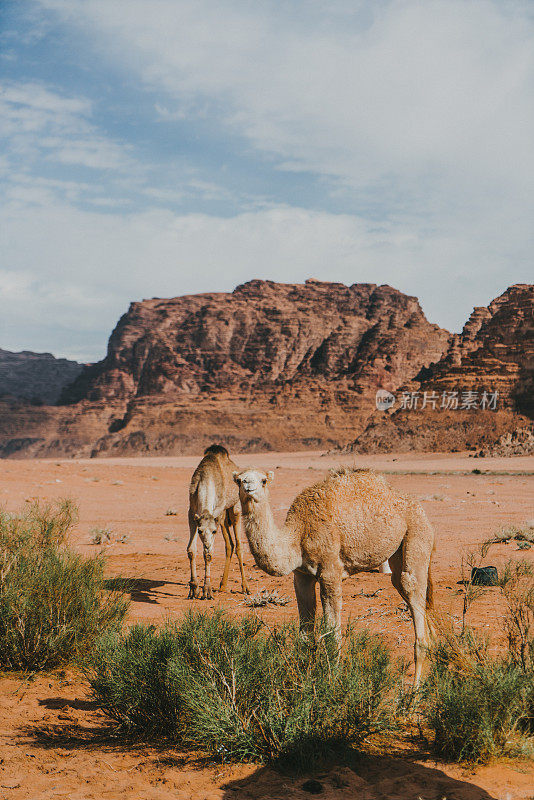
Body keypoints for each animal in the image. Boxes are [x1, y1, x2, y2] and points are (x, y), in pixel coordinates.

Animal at [187, 444, 250, 600]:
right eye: (200, 531)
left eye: (213, 531)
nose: (207, 543)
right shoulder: (192, 512)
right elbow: (191, 550)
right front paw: (193, 588)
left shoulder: (218, 512)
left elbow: (208, 554)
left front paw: (207, 590)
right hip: (223, 519)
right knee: (230, 545)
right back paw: (222, 585)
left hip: (234, 509)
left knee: (238, 546)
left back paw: (245, 587)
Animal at [233, 466, 436, 684]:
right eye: (239, 480)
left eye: (263, 480)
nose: (249, 487)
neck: (299, 534)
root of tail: (418, 507)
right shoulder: (301, 576)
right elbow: (305, 635)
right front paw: (304, 680)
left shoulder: (330, 572)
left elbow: (332, 635)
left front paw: (333, 681)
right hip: (398, 552)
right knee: (407, 589)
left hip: (417, 533)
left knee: (411, 587)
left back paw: (415, 689)